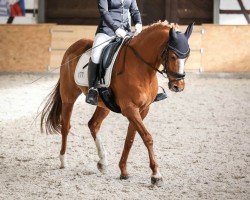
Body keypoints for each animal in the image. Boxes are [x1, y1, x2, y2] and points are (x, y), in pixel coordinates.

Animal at [40, 21, 193, 186]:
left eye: (187, 56)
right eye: (173, 55)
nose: (178, 86)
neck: (141, 68)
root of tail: (74, 46)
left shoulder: (142, 110)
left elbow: (130, 139)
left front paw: (123, 171)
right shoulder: (130, 109)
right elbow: (147, 137)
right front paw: (156, 174)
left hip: (104, 105)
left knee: (93, 124)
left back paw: (102, 162)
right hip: (68, 96)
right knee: (66, 126)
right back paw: (63, 160)